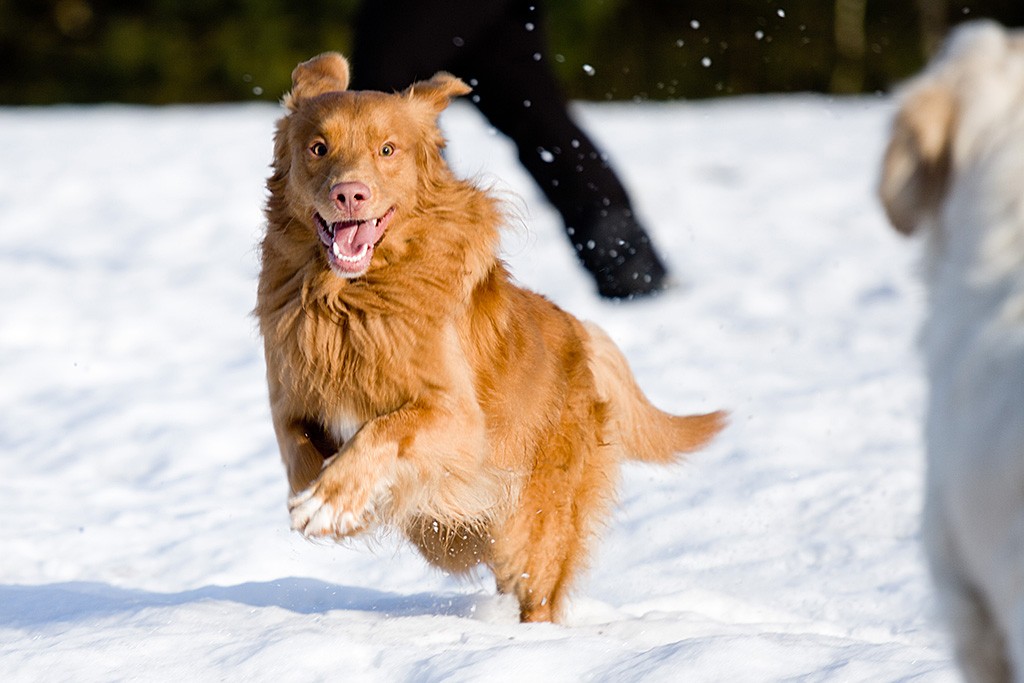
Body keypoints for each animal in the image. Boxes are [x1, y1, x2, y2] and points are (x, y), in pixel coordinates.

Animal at [254, 50, 720, 622]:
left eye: (388, 150)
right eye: (318, 148)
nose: (349, 193)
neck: (349, 303)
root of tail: (584, 337)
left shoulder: (457, 418)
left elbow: (384, 429)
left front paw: (330, 501)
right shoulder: (289, 404)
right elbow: (299, 454)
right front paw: (335, 504)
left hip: (534, 528)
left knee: (538, 587)